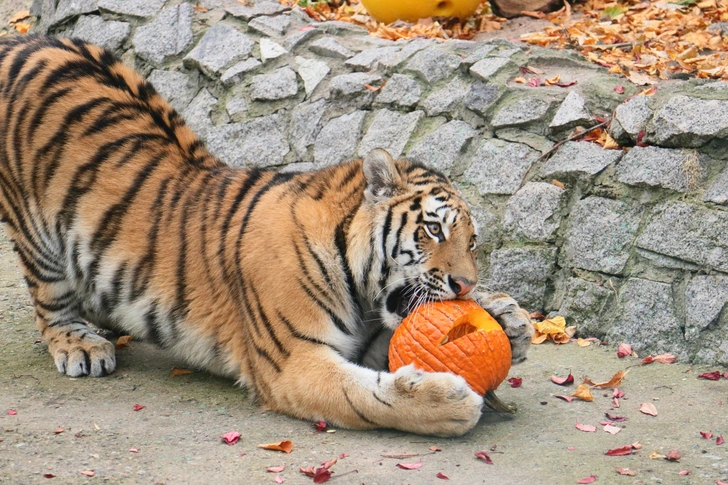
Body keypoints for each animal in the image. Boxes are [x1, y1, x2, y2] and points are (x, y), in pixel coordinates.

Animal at [0, 34, 536, 434]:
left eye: (472, 243)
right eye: (432, 229)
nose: (465, 285)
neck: (354, 276)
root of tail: (26, 40)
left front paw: (507, 317)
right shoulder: (293, 361)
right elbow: (369, 398)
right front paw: (449, 402)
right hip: (39, 235)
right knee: (50, 305)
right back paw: (82, 346)